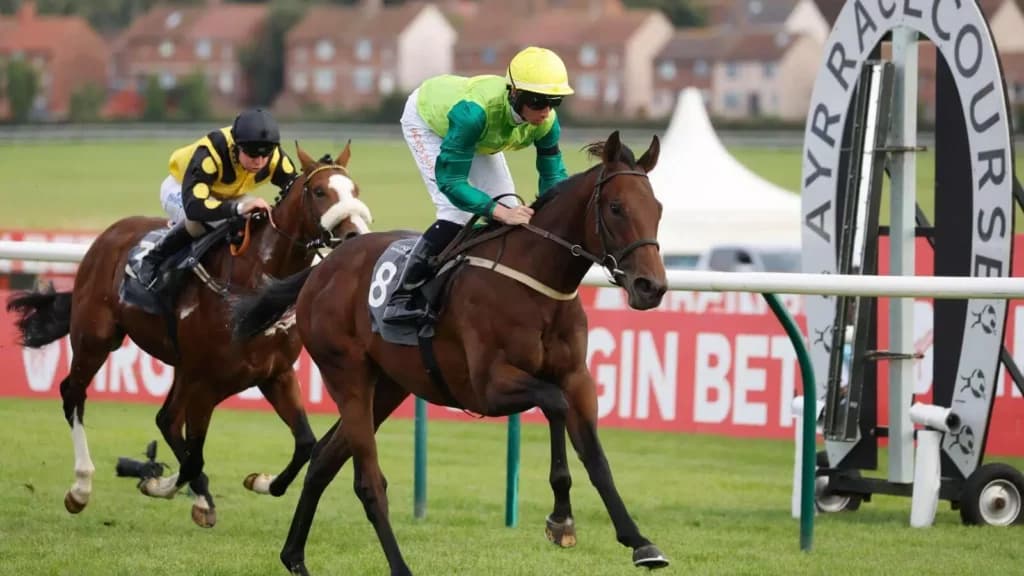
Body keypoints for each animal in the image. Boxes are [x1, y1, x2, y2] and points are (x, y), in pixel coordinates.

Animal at [6, 142, 373, 528]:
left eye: (355, 190)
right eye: (319, 192)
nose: (354, 234)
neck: (253, 282)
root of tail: (108, 236)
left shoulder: (275, 374)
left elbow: (304, 442)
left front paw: (259, 481)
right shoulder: (206, 383)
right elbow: (195, 457)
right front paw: (157, 482)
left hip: (181, 366)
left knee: (166, 419)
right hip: (96, 338)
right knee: (73, 394)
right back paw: (81, 487)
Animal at [230, 131, 669, 575]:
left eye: (658, 208)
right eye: (616, 208)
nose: (651, 287)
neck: (537, 283)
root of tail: (321, 270)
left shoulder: (577, 379)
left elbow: (596, 458)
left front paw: (640, 542)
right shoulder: (488, 388)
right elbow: (554, 404)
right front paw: (561, 517)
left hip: (387, 386)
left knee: (323, 459)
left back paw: (294, 556)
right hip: (347, 375)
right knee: (368, 482)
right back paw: (399, 567)